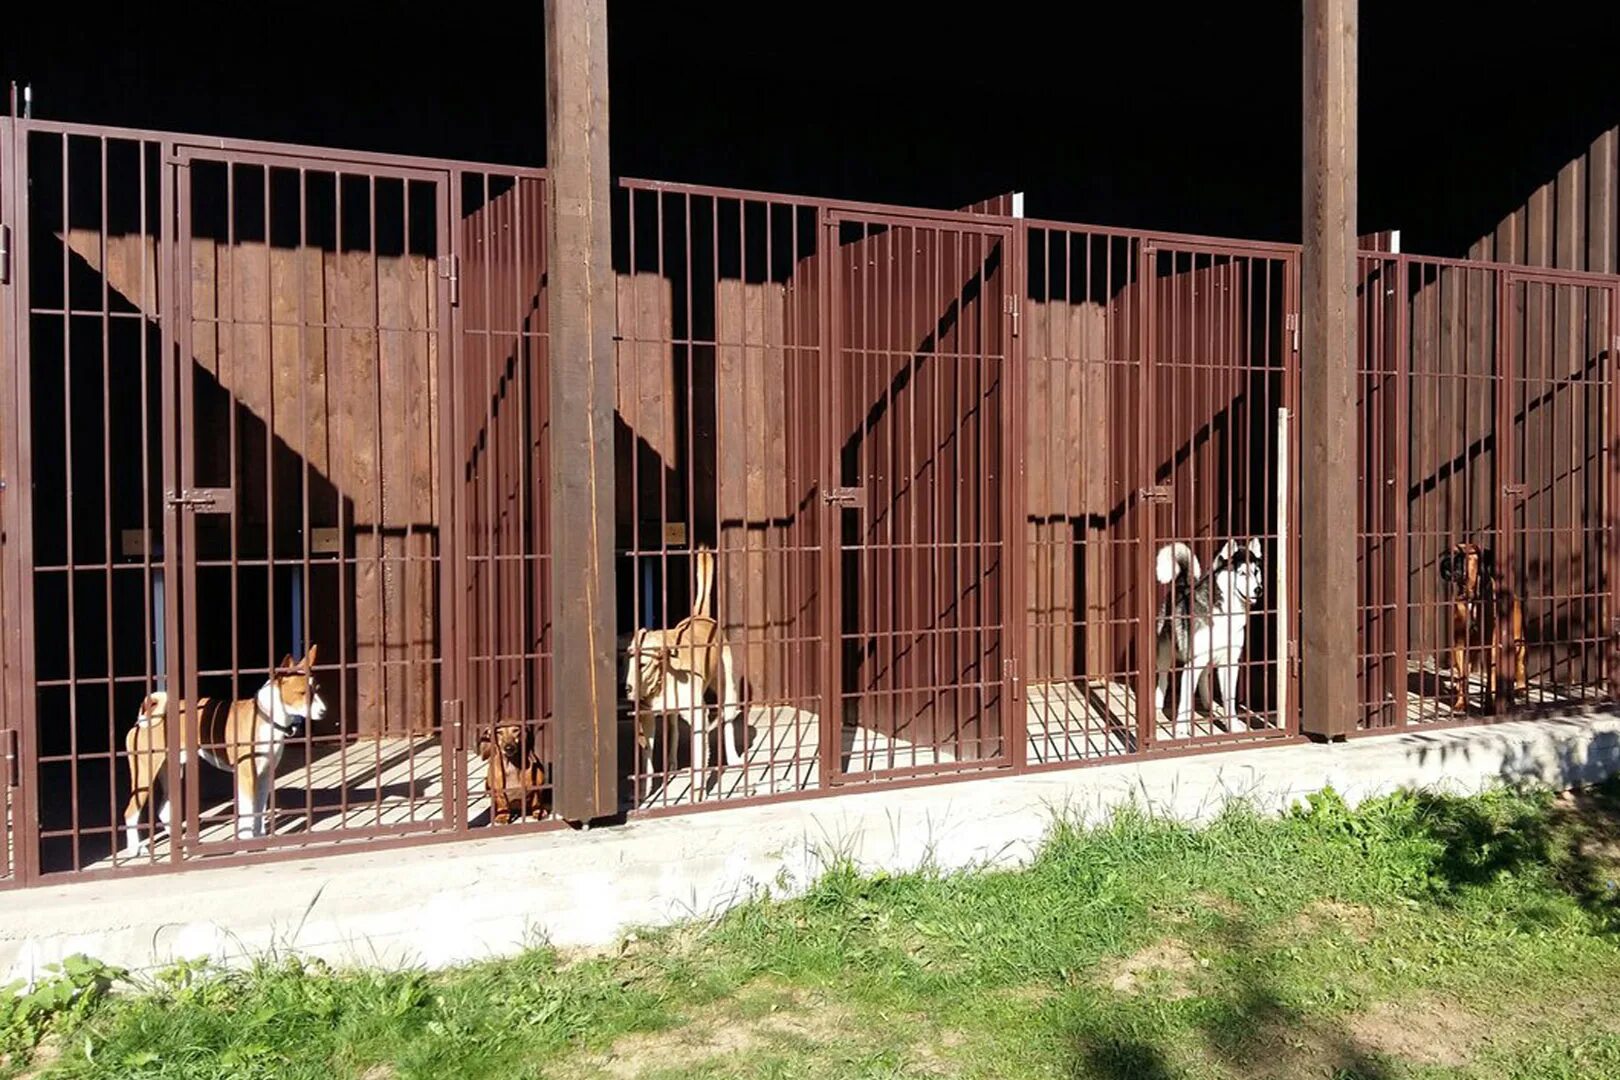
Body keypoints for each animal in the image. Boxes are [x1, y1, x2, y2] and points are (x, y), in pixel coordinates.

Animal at [121, 647, 327, 854]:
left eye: (317, 689)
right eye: (302, 693)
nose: (324, 711)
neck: (266, 717)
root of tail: (145, 719)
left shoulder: (264, 775)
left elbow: (258, 810)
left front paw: (259, 837)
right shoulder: (247, 775)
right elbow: (248, 811)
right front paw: (246, 841)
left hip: (171, 769)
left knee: (163, 808)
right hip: (145, 775)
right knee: (131, 812)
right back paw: (135, 849)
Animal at [625, 544, 745, 799]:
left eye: (642, 664)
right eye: (627, 661)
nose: (627, 689)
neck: (662, 679)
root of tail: (700, 615)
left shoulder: (699, 715)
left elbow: (700, 758)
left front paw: (698, 791)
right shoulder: (647, 719)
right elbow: (647, 758)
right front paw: (644, 790)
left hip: (728, 691)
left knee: (728, 723)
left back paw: (732, 758)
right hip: (672, 716)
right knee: (673, 733)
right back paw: (671, 765)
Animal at [1153, 537, 1263, 738]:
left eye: (1256, 572)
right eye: (1242, 573)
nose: (1258, 589)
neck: (1226, 613)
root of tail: (1182, 583)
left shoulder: (1229, 662)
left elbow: (1229, 698)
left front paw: (1233, 726)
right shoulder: (1192, 662)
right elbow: (1184, 701)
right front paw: (1181, 728)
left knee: (1204, 676)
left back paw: (1208, 703)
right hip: (1165, 650)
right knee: (1164, 676)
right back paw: (1158, 702)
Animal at [1445, 537, 1529, 709]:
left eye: (1462, 555)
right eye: (1449, 553)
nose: (1447, 562)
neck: (1471, 597)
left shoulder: (1491, 645)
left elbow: (1491, 677)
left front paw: (1490, 704)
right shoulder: (1460, 644)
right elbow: (1463, 676)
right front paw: (1461, 703)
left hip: (1518, 641)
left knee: (1519, 663)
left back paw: (1520, 688)